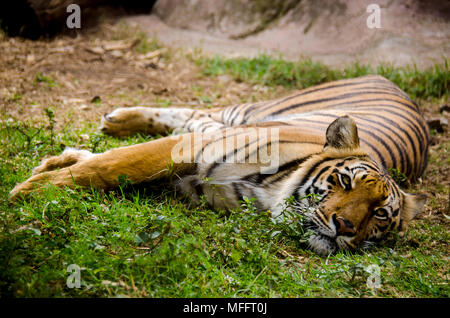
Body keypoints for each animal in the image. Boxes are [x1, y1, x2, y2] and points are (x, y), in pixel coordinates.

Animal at [10, 75, 428, 256]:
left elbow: (114, 167)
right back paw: (115, 119)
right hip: (245, 112)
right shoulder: (192, 149)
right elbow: (110, 164)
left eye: (379, 214)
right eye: (344, 181)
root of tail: (388, 79)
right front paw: (28, 191)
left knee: (196, 116)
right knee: (196, 112)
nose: (344, 226)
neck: (269, 194)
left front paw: (53, 166)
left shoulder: (191, 183)